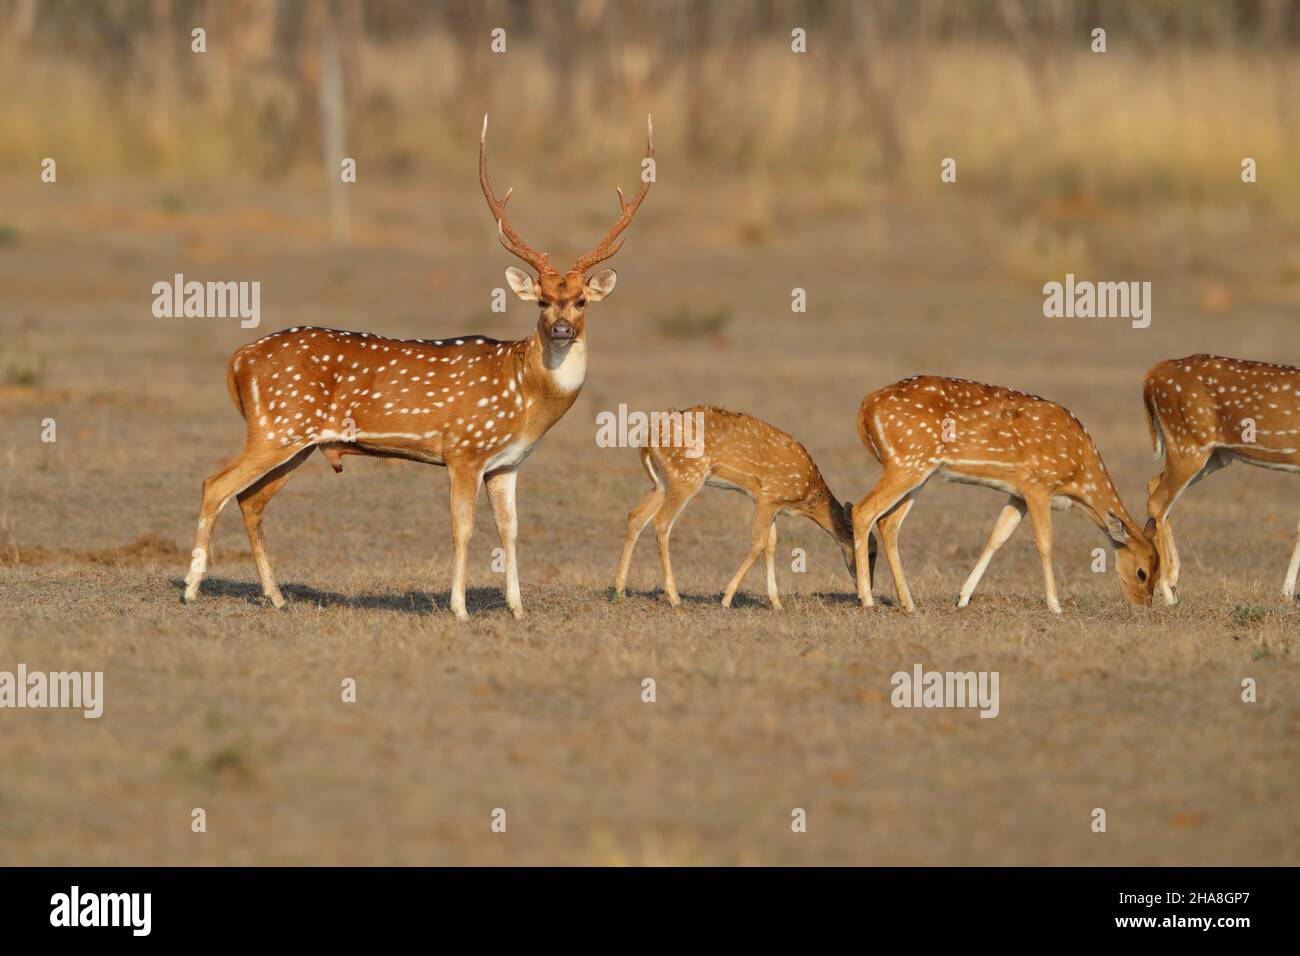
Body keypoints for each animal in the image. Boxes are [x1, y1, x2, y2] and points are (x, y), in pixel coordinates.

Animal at [180, 113, 660, 621]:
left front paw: (517, 608)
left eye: (581, 300)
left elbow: (510, 530)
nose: (563, 330)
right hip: (276, 427)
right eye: (543, 301)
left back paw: (275, 596)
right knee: (215, 484)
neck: (524, 394)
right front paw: (460, 608)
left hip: (297, 441)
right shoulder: (465, 450)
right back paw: (190, 589)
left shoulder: (507, 465)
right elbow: (463, 528)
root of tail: (239, 358)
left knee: (250, 499)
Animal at [611, 408, 873, 608]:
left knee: (635, 516)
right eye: (871, 552)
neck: (806, 495)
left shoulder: (768, 503)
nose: (866, 588)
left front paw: (776, 603)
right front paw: (727, 598)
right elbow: (759, 542)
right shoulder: (769, 496)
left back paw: (619, 591)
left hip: (663, 483)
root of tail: (646, 443)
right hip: (686, 477)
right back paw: (674, 598)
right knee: (661, 523)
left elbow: (771, 544)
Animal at [852, 374, 1159, 613]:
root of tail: (865, 406)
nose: (1143, 605)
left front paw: (962, 598)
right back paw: (867, 600)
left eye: (1160, 570)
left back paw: (908, 604)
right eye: (1142, 572)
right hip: (907, 461)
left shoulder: (1018, 493)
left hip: (917, 470)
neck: (1078, 479)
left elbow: (997, 536)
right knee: (862, 511)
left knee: (888, 521)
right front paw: (1055, 606)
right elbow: (1045, 542)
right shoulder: (1037, 484)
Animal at [1149, 356, 1300, 600]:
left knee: (1154, 483)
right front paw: (1286, 593)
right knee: (1157, 501)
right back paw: (1168, 590)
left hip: (1214, 455)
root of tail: (1154, 375)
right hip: (1187, 443)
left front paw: (1286, 593)